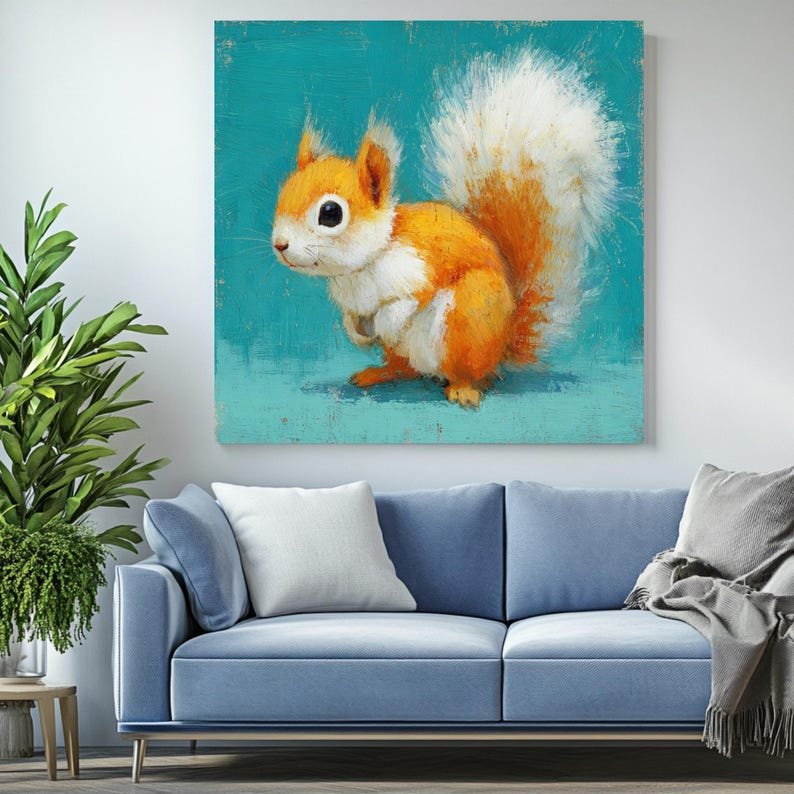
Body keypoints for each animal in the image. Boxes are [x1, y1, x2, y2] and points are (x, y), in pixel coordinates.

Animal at [272, 48, 619, 408]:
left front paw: (386, 321)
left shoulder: (418, 266)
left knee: (465, 372)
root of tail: (502, 348)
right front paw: (357, 333)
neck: (362, 266)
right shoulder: (353, 301)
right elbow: (351, 317)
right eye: (282, 194)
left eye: (331, 213)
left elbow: (409, 301)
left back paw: (462, 389)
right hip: (409, 351)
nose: (280, 245)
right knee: (406, 368)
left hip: (467, 318)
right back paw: (378, 373)